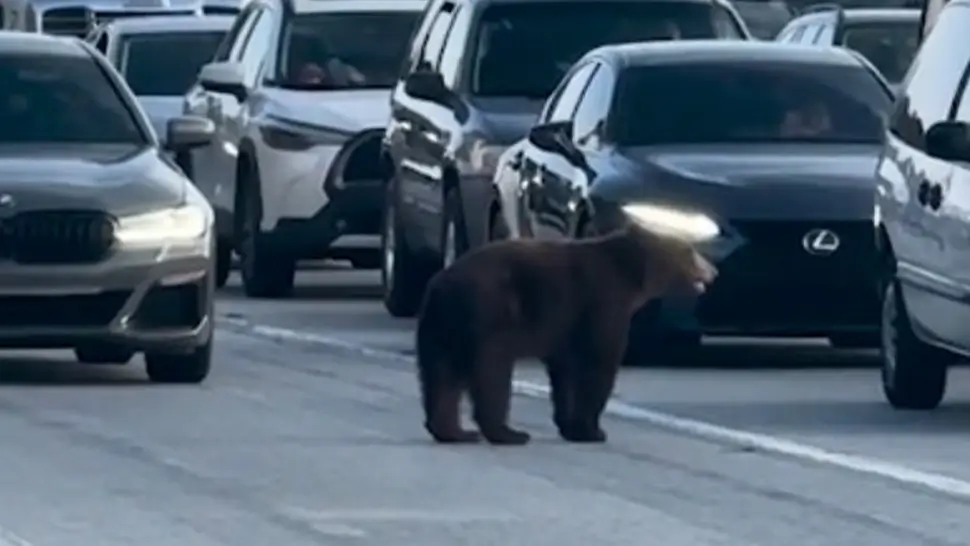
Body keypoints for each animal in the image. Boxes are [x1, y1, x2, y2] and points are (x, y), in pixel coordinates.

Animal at [412, 219, 716, 444]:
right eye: (690, 252)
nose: (713, 271)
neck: (632, 278)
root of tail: (441, 284)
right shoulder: (603, 302)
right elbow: (598, 363)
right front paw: (592, 430)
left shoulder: (566, 328)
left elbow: (565, 372)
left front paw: (570, 426)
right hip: (488, 319)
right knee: (491, 373)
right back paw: (508, 433)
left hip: (441, 328)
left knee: (439, 377)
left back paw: (454, 431)